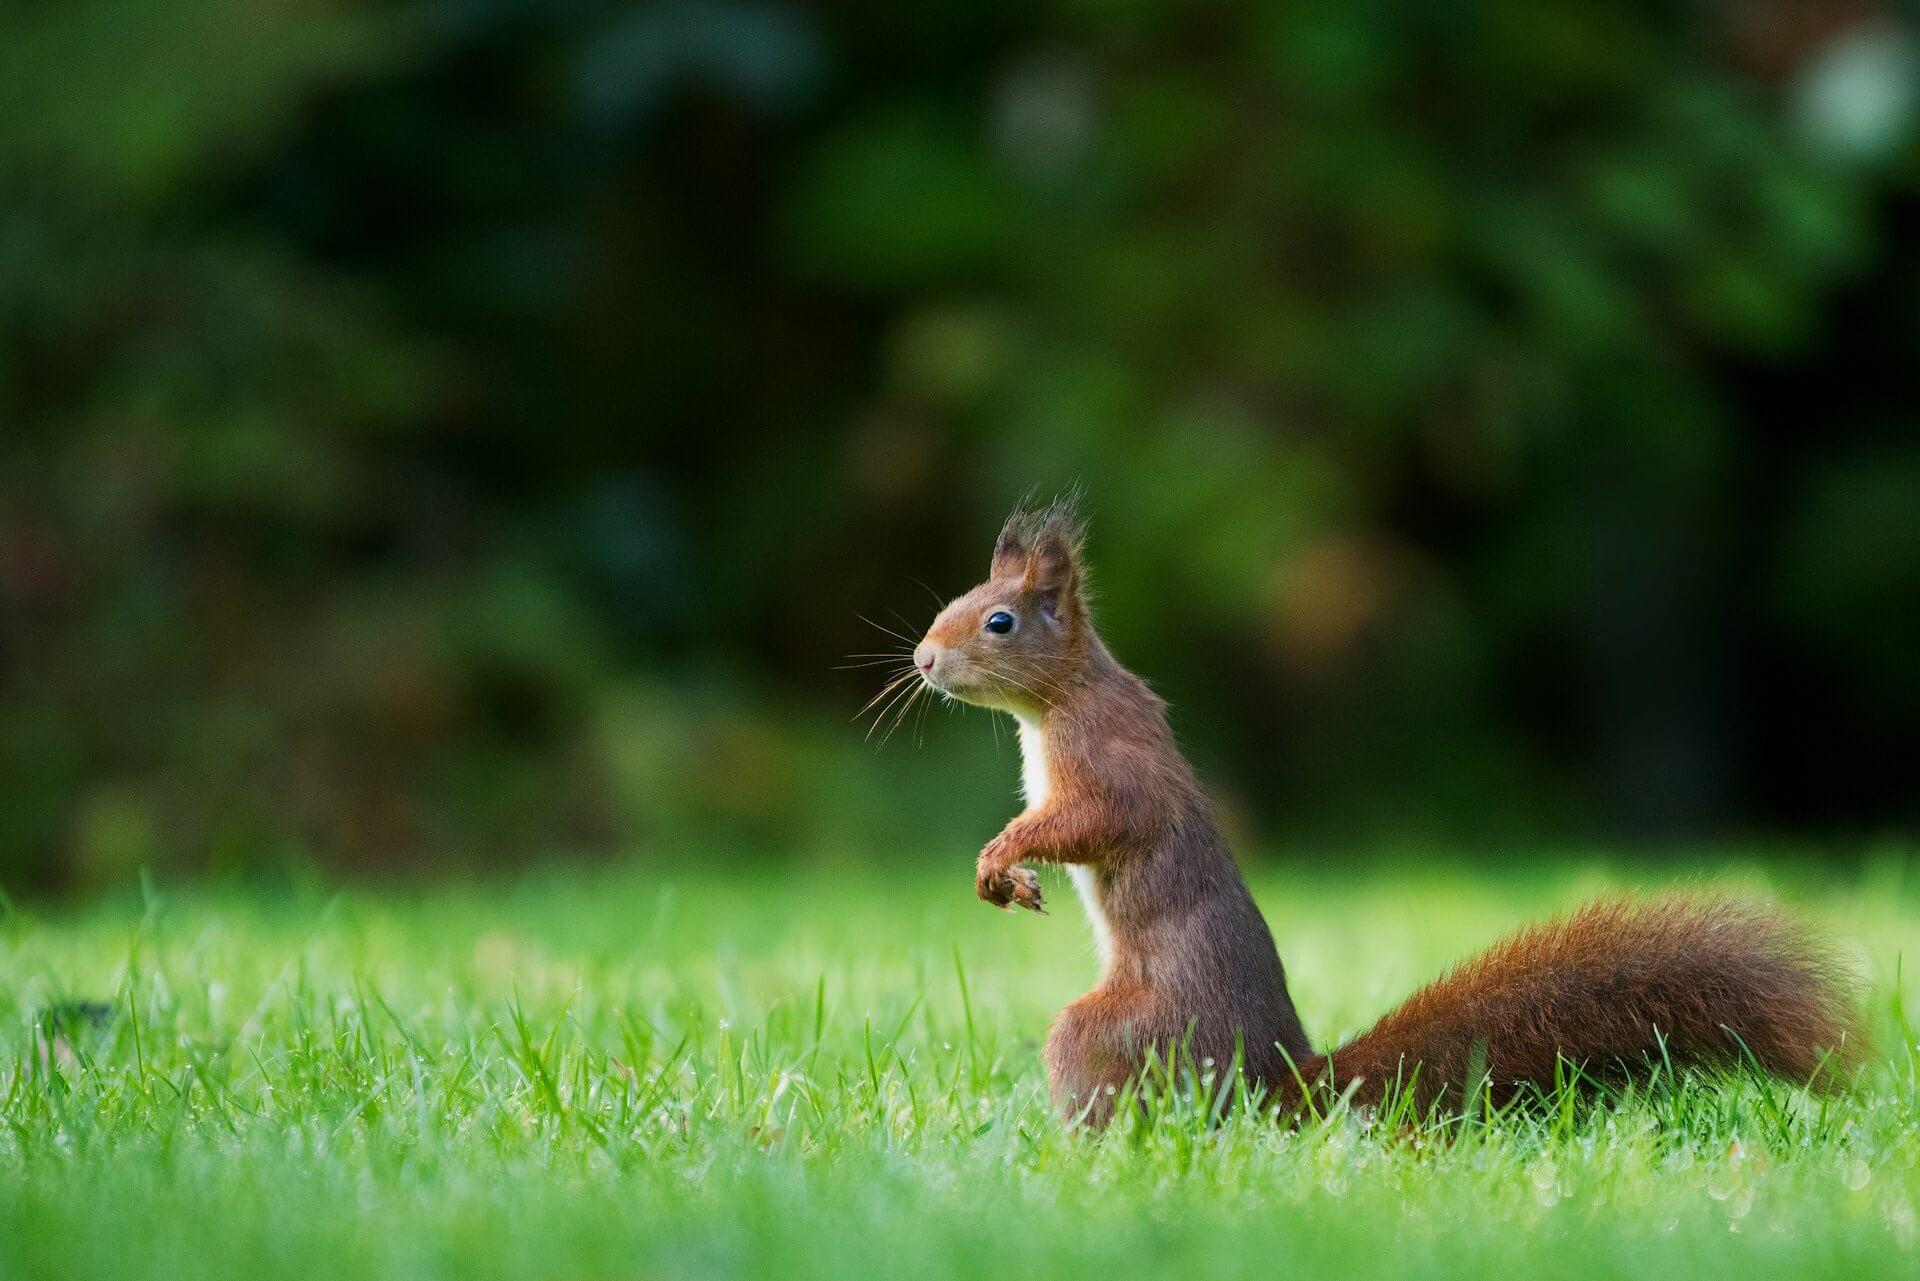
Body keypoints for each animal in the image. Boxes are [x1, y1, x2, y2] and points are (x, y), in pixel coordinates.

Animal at [907, 495, 1863, 1126]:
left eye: (997, 621)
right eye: (948, 606)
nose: (921, 659)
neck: (1059, 699)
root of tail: (1280, 1084)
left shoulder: (1109, 761)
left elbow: (1099, 820)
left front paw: (1002, 855)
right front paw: (1008, 874)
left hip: (1122, 1032)